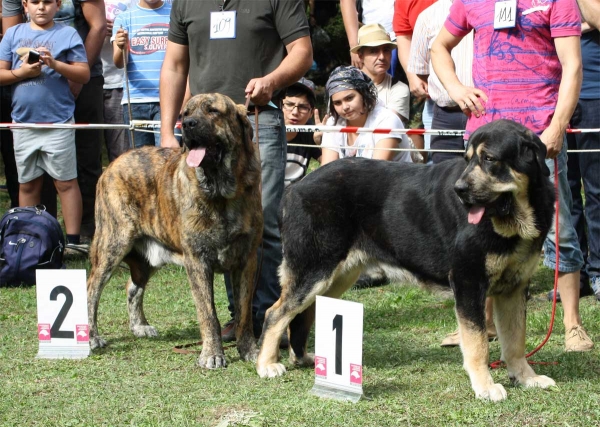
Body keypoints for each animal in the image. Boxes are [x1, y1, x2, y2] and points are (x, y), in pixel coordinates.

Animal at [87, 95, 262, 370]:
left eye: (213, 111)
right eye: (185, 114)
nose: (188, 125)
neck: (222, 193)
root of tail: (112, 164)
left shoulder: (247, 260)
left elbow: (245, 312)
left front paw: (250, 351)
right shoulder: (198, 261)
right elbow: (208, 313)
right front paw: (212, 354)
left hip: (148, 257)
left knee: (132, 286)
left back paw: (140, 327)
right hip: (112, 244)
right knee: (92, 289)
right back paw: (92, 337)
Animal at [258, 119, 556, 402]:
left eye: (490, 159)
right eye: (469, 158)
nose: (459, 190)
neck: (515, 218)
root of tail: (294, 189)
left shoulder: (514, 288)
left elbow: (515, 341)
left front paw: (526, 378)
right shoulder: (469, 282)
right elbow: (478, 342)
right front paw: (485, 386)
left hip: (335, 275)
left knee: (303, 313)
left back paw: (303, 358)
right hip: (314, 270)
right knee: (276, 313)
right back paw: (266, 364)